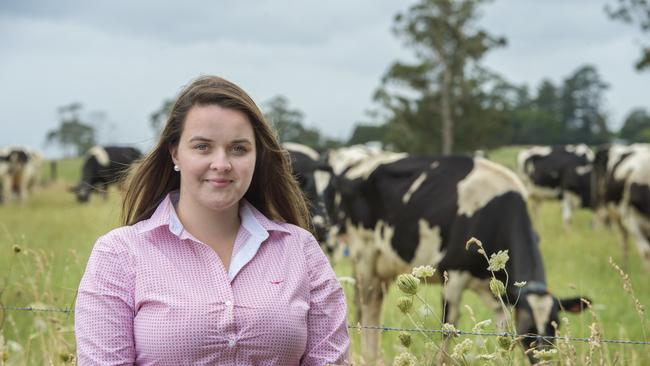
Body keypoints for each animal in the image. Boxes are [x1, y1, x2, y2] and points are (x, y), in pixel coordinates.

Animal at [334, 152, 588, 364]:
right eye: (527, 327)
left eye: (554, 327)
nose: (543, 358)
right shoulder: (453, 275)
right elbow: (448, 333)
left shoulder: (498, 294)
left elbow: (501, 337)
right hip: (364, 257)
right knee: (368, 308)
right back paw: (368, 356)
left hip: (385, 266)